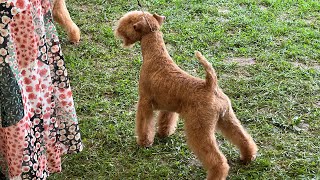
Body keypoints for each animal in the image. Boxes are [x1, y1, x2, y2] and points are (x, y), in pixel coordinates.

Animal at [115, 11, 258, 180]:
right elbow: (165, 121)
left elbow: (144, 125)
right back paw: (248, 157)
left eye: (131, 21)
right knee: (243, 138)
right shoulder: (168, 106)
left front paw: (144, 142)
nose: (118, 29)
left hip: (200, 130)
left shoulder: (145, 102)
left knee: (218, 160)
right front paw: (164, 133)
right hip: (227, 118)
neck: (155, 56)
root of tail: (210, 85)